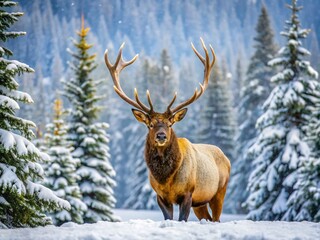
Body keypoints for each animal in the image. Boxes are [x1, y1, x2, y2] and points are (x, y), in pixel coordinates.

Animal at [104, 39, 230, 221]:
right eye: (150, 125)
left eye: (170, 124)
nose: (161, 136)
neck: (166, 179)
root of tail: (226, 157)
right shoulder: (161, 197)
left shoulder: (188, 194)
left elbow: (182, 219)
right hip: (200, 203)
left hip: (220, 192)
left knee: (216, 218)